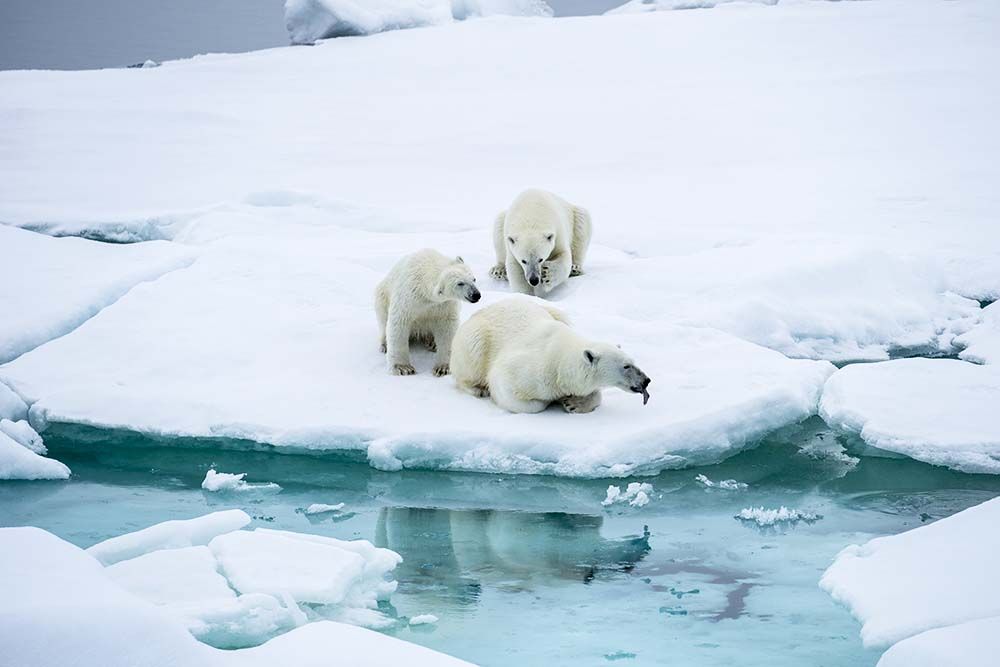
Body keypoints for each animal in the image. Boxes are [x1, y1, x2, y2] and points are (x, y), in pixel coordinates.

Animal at [450, 298, 652, 412]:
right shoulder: (531, 370)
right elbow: (511, 391)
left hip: (552, 311)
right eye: (626, 366)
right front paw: (557, 400)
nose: (646, 380)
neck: (560, 362)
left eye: (633, 361)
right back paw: (477, 388)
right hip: (475, 337)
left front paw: (574, 403)